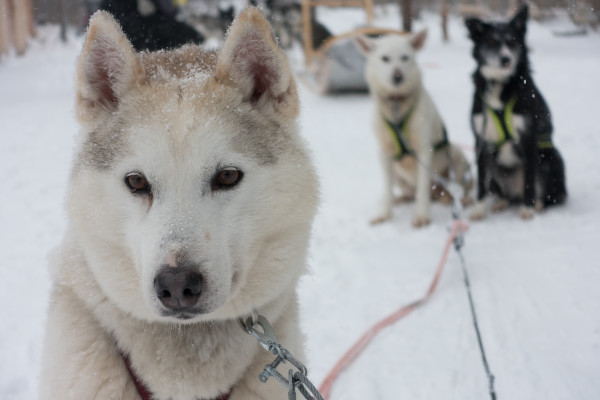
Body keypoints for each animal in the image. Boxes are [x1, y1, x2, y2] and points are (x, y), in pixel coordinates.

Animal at [464, 5, 568, 219]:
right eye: (491, 41)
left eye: (512, 41)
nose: (506, 59)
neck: (499, 84)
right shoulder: (480, 142)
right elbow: (481, 183)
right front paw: (478, 210)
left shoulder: (528, 138)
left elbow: (529, 180)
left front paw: (527, 209)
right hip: (496, 167)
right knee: (503, 193)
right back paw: (501, 202)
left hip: (551, 158)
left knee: (548, 195)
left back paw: (537, 205)